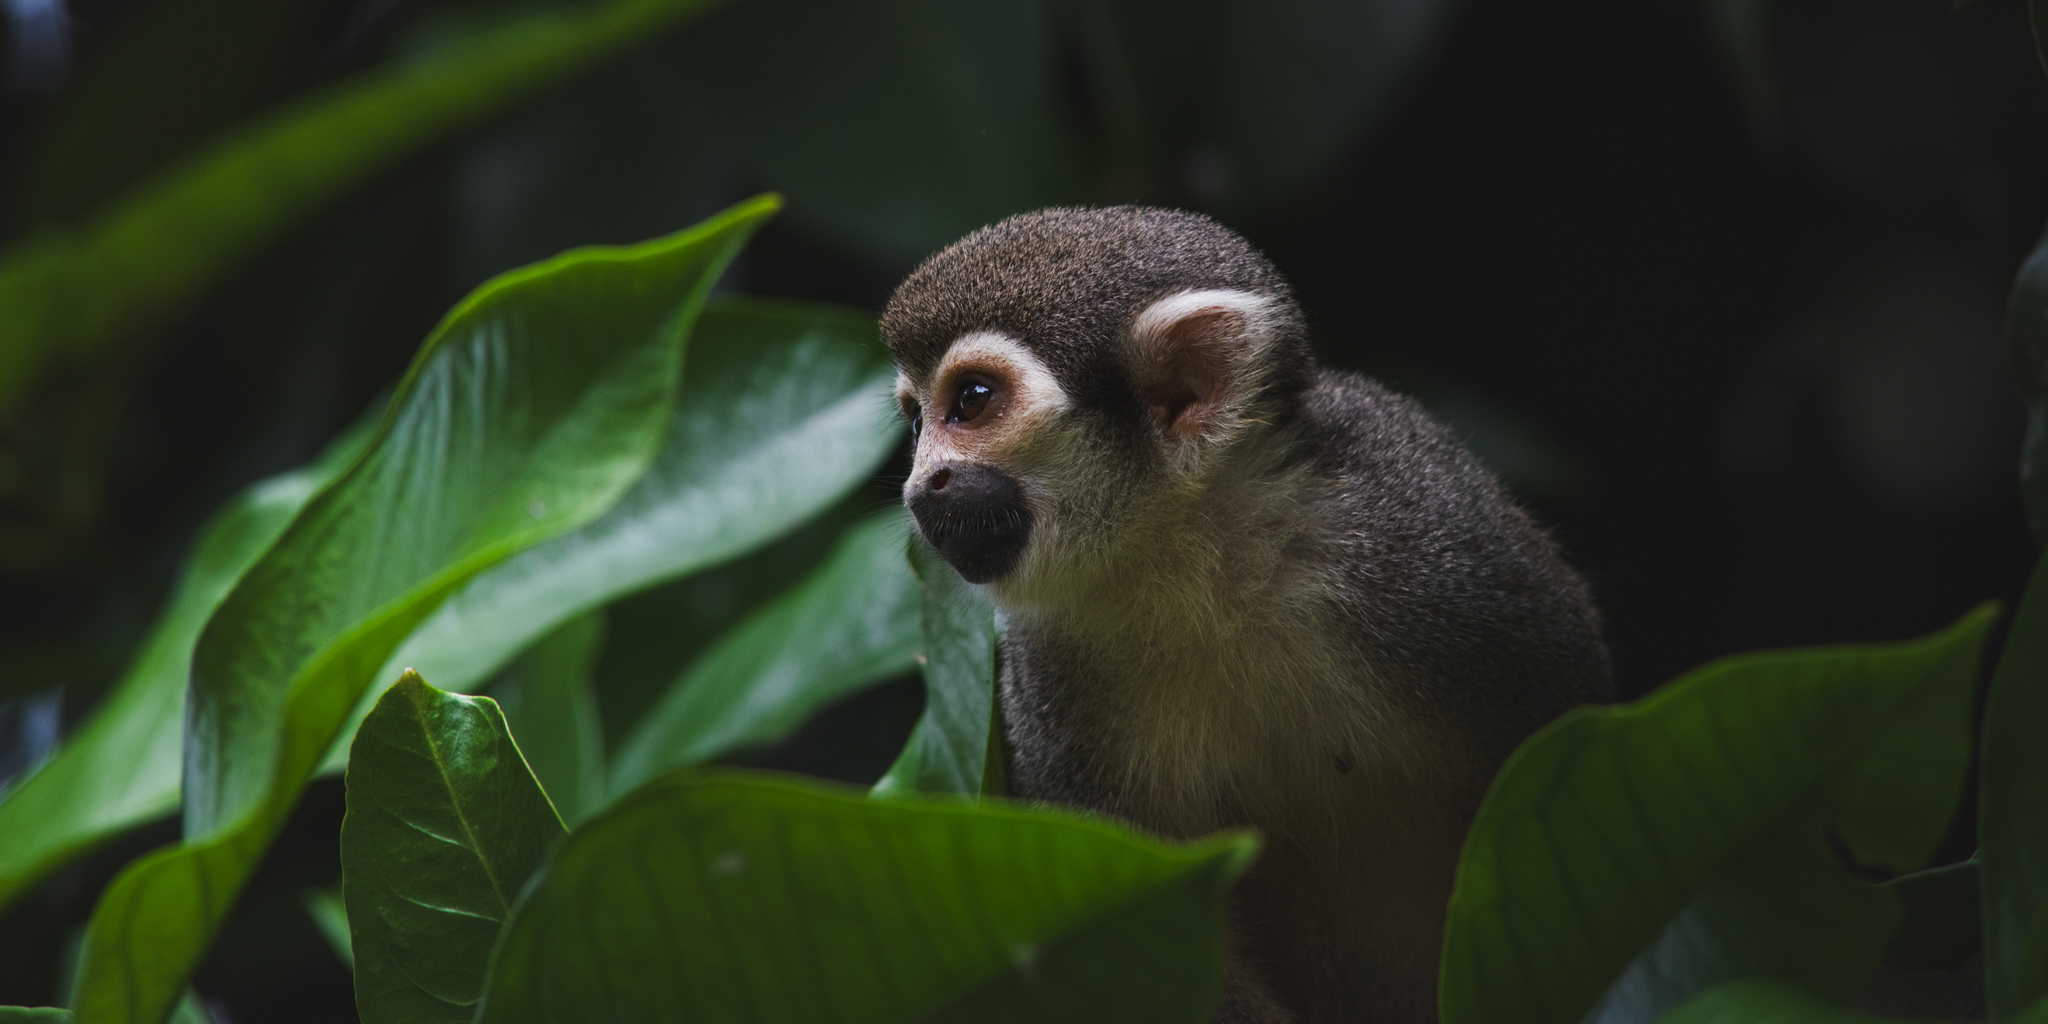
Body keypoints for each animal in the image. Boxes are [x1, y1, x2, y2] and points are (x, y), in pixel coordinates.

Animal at [881, 206, 1611, 1024]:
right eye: (915, 421)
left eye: (972, 399)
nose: (921, 486)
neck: (1204, 564)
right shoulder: (1049, 677)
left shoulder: (1432, 540)